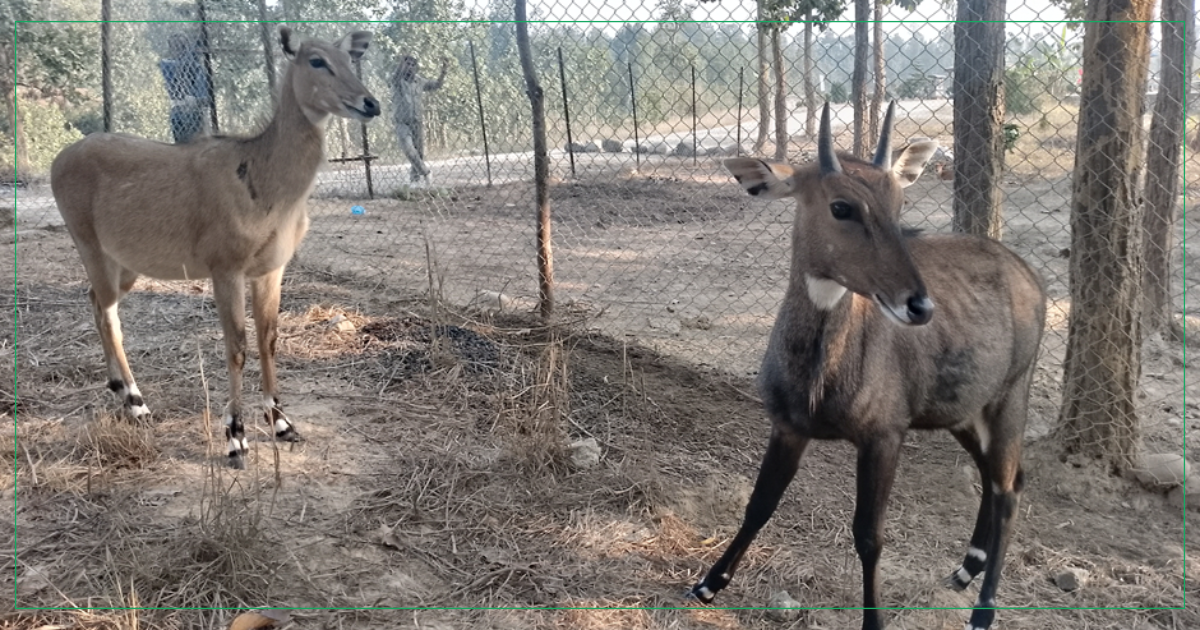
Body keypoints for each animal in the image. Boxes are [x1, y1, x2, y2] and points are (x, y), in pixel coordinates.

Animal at [50, 28, 379, 465]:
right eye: (316, 60)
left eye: (349, 58)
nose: (370, 103)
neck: (262, 173)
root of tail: (59, 159)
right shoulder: (226, 268)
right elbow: (236, 346)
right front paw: (235, 437)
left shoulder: (270, 269)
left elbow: (268, 339)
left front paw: (282, 424)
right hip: (90, 246)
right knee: (108, 316)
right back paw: (138, 403)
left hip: (124, 264)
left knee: (96, 302)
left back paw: (119, 389)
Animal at [691, 99, 1046, 628]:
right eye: (842, 206)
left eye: (899, 206)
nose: (919, 305)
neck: (819, 376)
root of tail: (1029, 275)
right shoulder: (788, 426)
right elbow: (759, 504)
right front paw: (710, 583)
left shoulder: (883, 437)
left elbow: (869, 535)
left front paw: (874, 620)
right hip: (963, 411)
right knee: (998, 478)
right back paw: (967, 568)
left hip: (1009, 399)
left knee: (1008, 489)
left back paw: (983, 611)